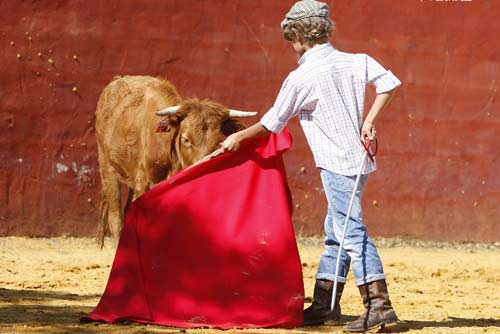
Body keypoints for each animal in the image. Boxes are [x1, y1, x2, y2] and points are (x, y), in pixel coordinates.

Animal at [96, 76, 256, 248]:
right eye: (185, 139)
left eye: (218, 141)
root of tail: (116, 81)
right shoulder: (143, 182)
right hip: (107, 167)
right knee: (115, 217)